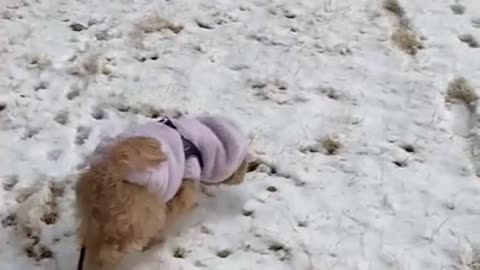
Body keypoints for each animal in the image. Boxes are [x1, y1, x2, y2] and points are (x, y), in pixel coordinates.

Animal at [76, 137, 248, 270]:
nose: (242, 177)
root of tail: (109, 173)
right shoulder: (185, 184)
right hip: (143, 210)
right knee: (112, 248)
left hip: (93, 221)